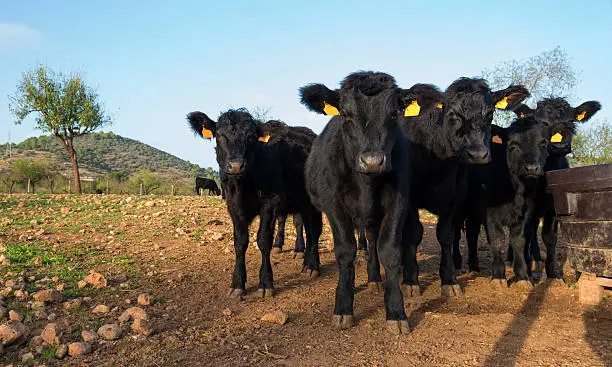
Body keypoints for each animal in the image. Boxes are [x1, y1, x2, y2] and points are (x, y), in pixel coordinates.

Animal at [186, 110, 322, 300]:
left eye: (251, 137)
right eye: (220, 135)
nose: (236, 166)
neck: (244, 185)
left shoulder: (270, 202)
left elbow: (264, 240)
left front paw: (265, 283)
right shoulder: (233, 206)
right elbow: (240, 241)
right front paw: (237, 283)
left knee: (315, 230)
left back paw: (313, 266)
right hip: (301, 202)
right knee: (308, 229)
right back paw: (306, 263)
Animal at [300, 72, 416, 336]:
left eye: (394, 113)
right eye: (345, 113)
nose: (372, 161)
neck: (366, 182)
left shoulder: (398, 203)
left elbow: (389, 251)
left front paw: (396, 312)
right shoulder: (334, 206)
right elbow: (345, 251)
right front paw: (343, 307)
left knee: (372, 240)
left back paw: (373, 278)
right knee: (313, 233)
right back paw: (311, 266)